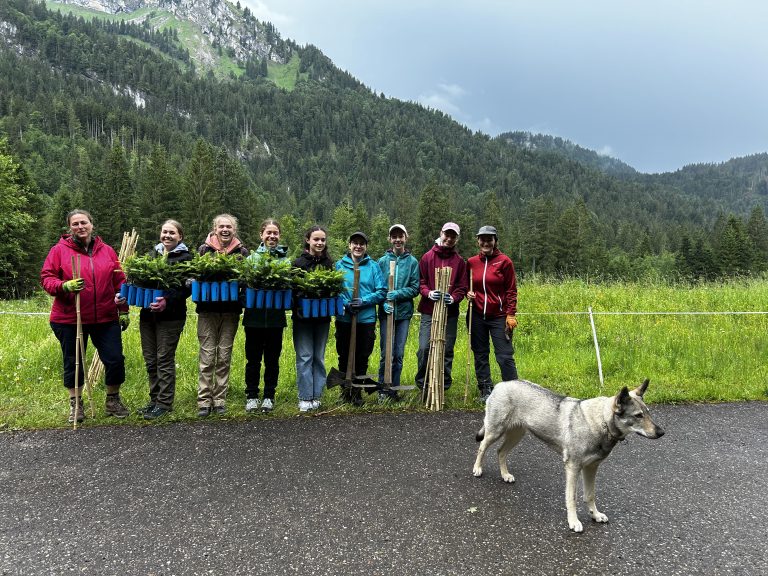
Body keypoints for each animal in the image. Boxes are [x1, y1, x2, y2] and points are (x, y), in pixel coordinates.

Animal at [472, 378, 664, 532]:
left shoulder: (591, 468)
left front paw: (595, 515)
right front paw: (573, 522)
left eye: (648, 413)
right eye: (638, 416)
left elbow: (590, 495)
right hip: (495, 432)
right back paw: (477, 469)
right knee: (482, 447)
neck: (599, 422)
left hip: (516, 435)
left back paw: (505, 474)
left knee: (500, 452)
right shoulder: (573, 468)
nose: (662, 432)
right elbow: (571, 498)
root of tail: (500, 384)